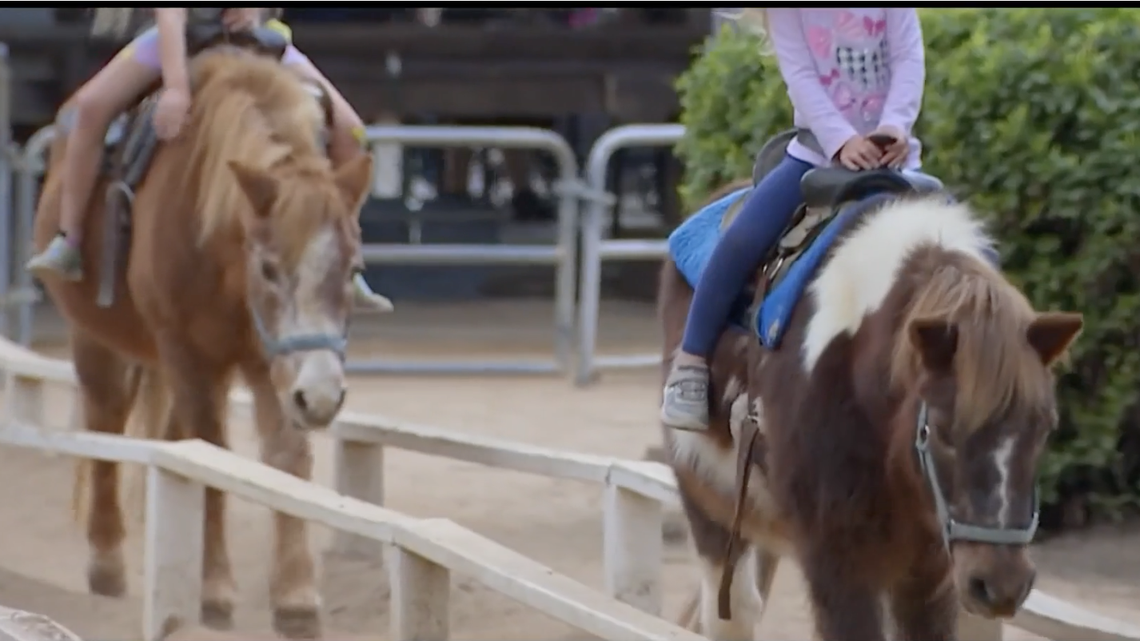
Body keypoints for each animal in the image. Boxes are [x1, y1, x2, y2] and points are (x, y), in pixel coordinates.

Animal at [31, 49, 379, 639]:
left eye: (353, 269)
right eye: (269, 267)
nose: (322, 396)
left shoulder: (269, 361)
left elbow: (284, 459)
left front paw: (296, 598)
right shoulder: (187, 352)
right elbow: (213, 456)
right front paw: (215, 592)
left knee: (173, 444)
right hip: (101, 342)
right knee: (106, 424)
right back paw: (106, 564)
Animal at [659, 146, 1083, 640]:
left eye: (1044, 428)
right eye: (941, 431)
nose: (1000, 585)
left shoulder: (929, 567)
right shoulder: (837, 559)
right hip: (709, 501)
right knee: (735, 610)